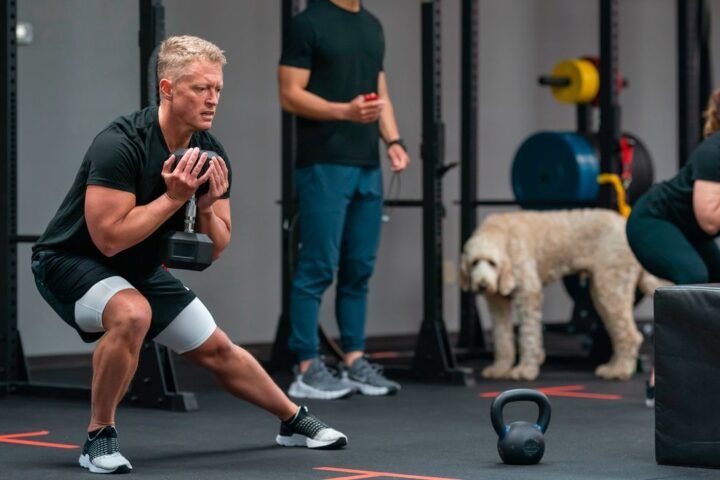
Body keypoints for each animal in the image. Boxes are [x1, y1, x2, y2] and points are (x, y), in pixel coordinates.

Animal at [458, 208, 668, 380]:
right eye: (474, 263)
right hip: (602, 292)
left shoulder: (529, 294)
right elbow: (502, 337)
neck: (502, 232)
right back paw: (613, 367)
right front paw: (500, 369)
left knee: (631, 335)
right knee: (620, 332)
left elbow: (528, 335)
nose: (482, 284)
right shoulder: (496, 302)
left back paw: (621, 371)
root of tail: (626, 223)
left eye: (492, 263)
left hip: (610, 288)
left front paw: (525, 370)